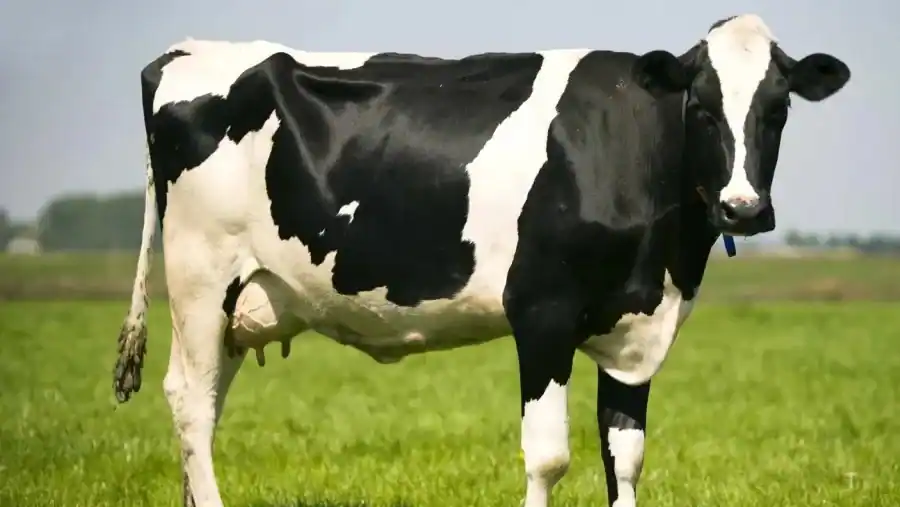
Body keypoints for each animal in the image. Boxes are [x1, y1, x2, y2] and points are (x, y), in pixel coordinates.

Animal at [112, 13, 849, 507]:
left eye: (778, 109)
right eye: (701, 105)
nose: (743, 208)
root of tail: (185, 51)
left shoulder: (637, 328)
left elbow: (626, 457)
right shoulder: (543, 313)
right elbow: (549, 456)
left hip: (244, 298)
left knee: (206, 404)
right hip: (201, 275)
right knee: (190, 401)